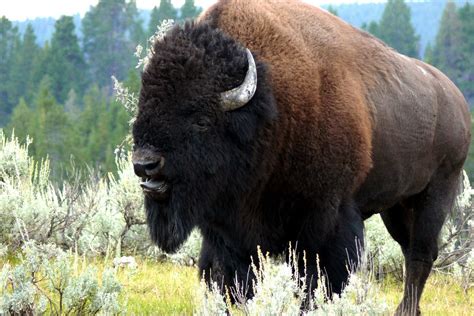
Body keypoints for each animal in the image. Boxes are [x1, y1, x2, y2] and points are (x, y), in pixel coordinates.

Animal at [130, 0, 470, 312]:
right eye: (143, 110)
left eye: (201, 120)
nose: (145, 164)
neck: (271, 104)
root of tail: (457, 101)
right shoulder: (226, 229)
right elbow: (223, 274)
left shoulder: (326, 216)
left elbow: (317, 276)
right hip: (396, 206)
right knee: (410, 249)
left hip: (435, 195)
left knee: (421, 254)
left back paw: (406, 309)